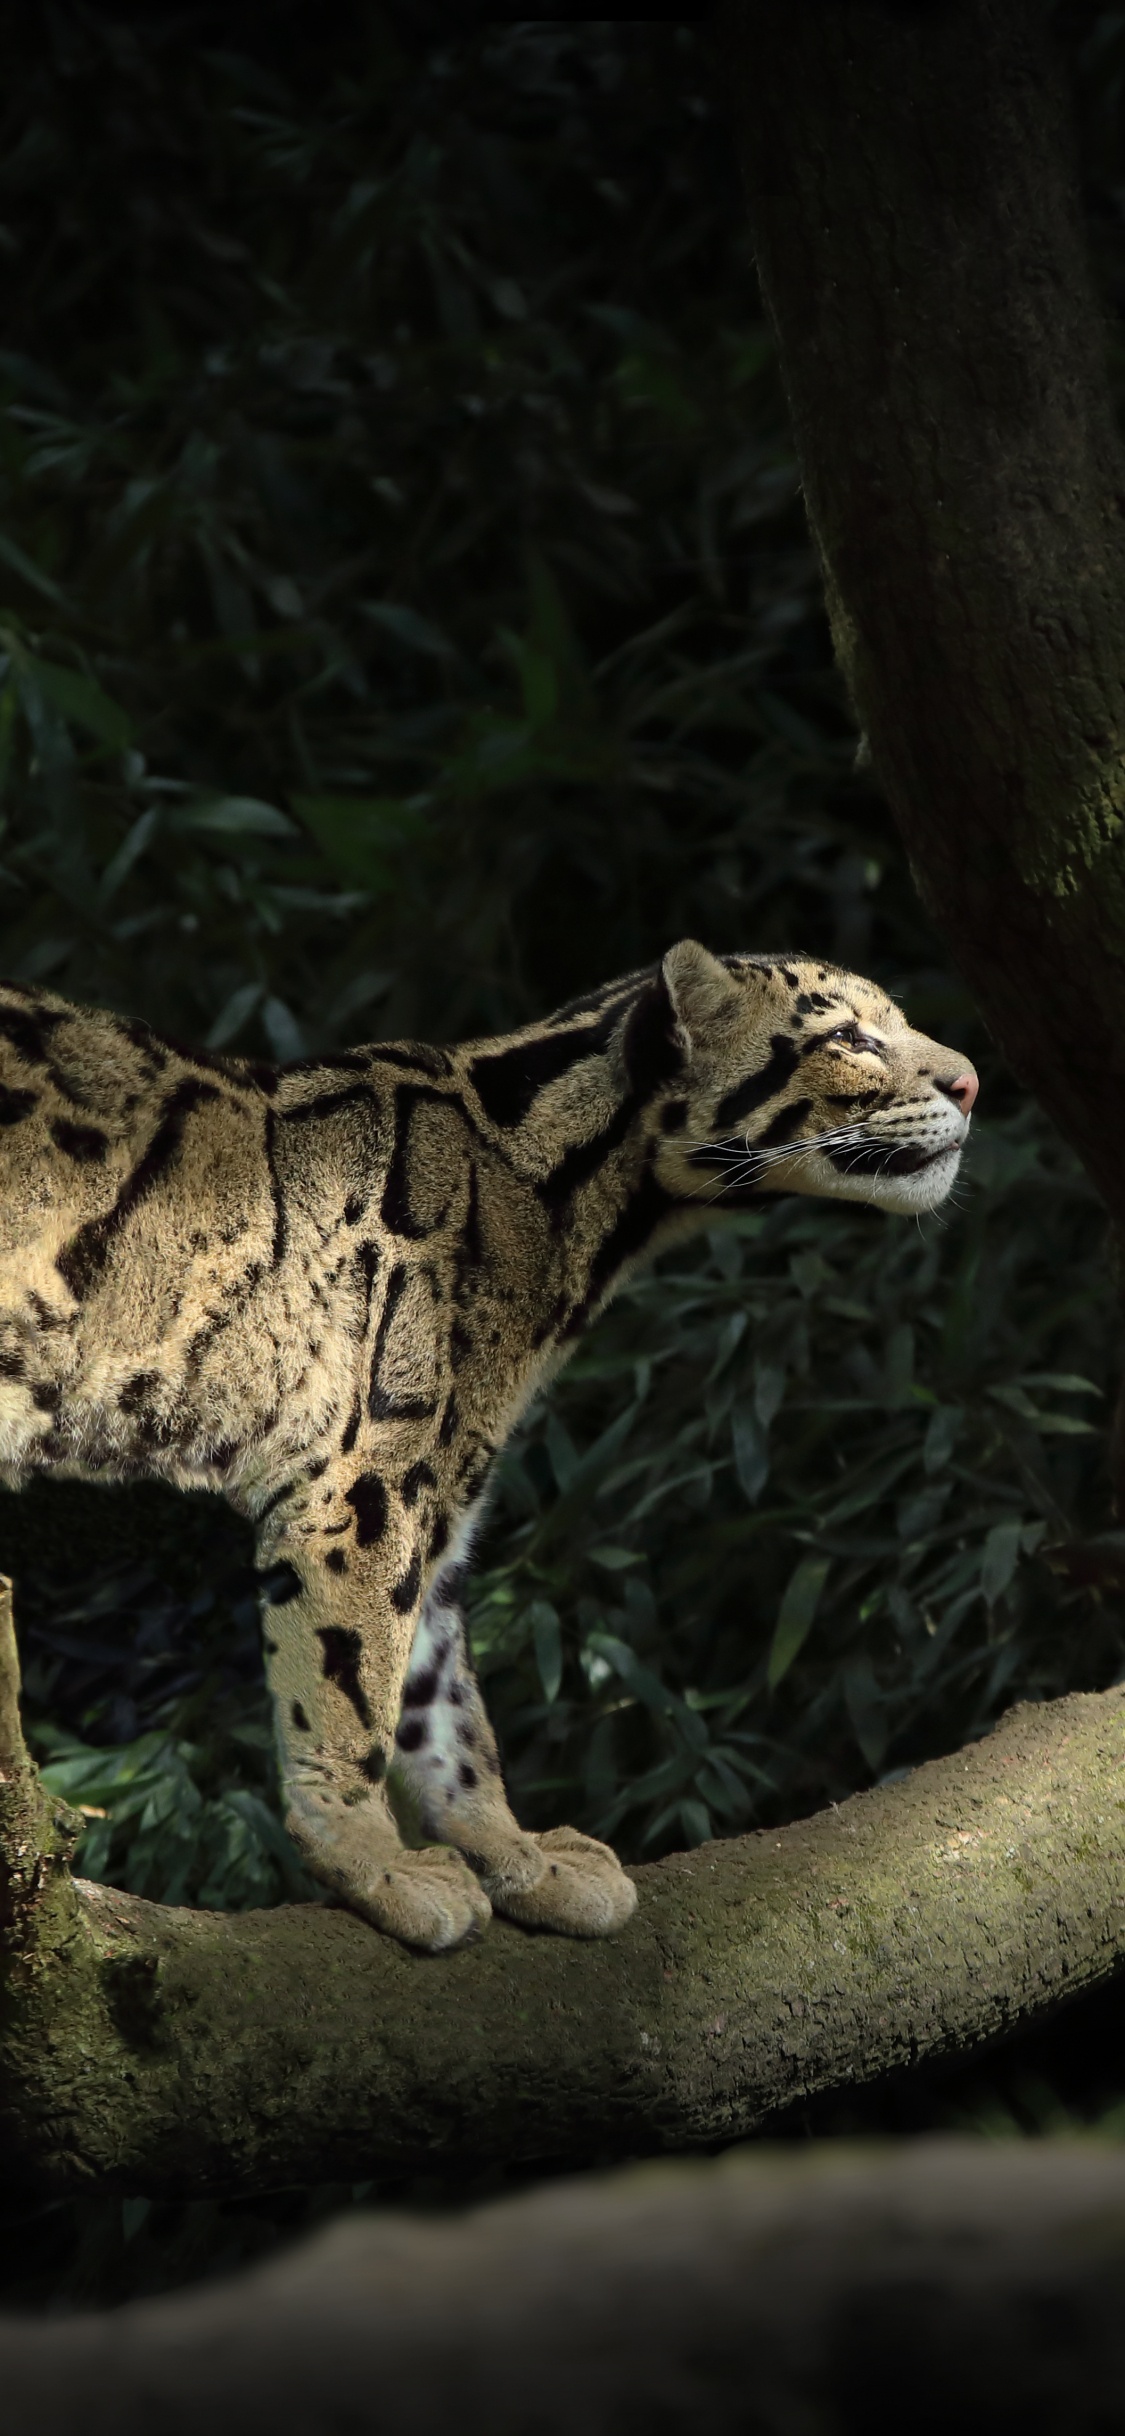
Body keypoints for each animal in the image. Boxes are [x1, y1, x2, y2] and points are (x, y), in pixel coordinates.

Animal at [0, 939, 977, 1951]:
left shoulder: (443, 1490)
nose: (973, 1082)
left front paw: (514, 1853)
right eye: (850, 1038)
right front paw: (373, 1860)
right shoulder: (364, 1483)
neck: (576, 1210)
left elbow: (444, 1700)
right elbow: (354, 1690)